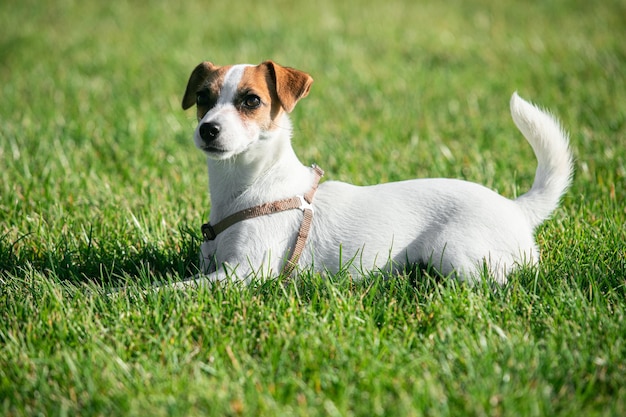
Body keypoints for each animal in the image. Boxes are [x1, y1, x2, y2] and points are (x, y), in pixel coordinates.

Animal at [176, 59, 572, 286]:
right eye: (202, 98)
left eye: (251, 100)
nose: (207, 130)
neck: (250, 187)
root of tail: (515, 207)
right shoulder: (213, 265)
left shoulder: (244, 271)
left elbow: (178, 290)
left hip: (453, 251)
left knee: (505, 279)